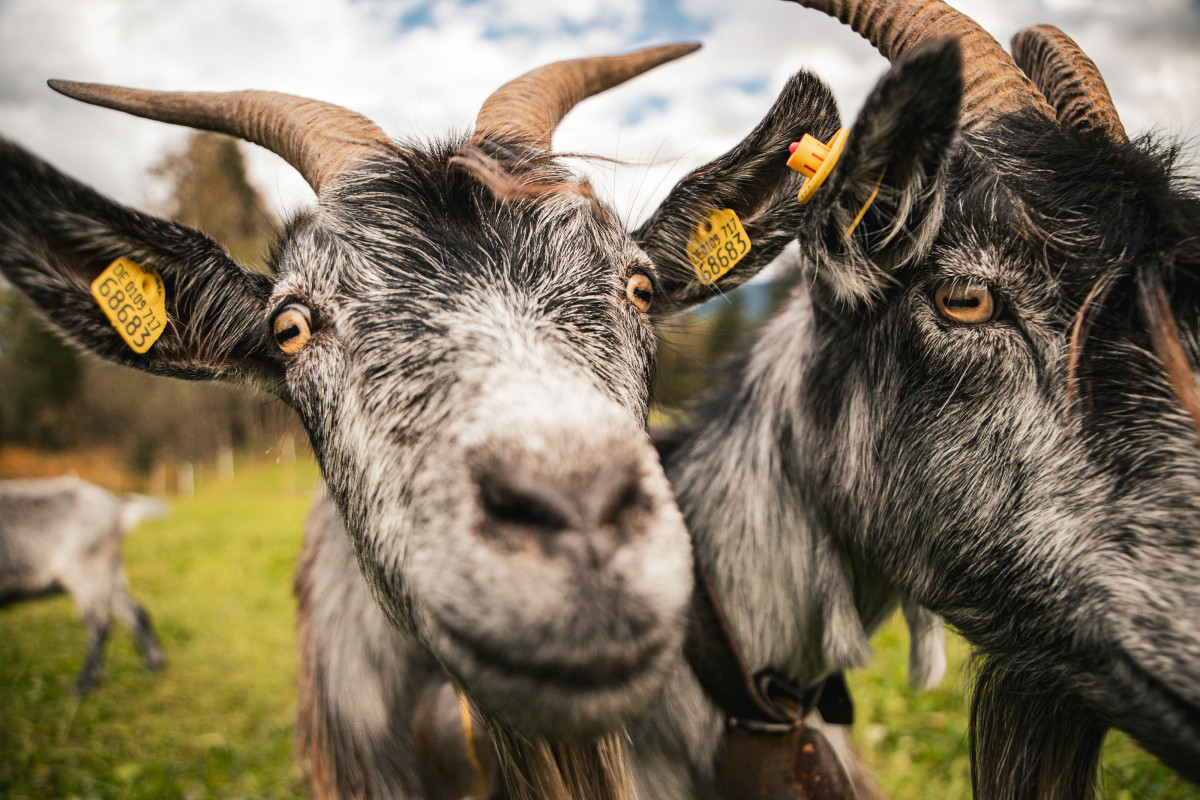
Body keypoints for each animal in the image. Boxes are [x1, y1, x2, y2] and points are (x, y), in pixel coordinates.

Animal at [0, 476, 167, 693]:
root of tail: (118, 507)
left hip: (85, 569)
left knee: (100, 624)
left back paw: (83, 685)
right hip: (106, 572)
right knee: (135, 612)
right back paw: (154, 665)